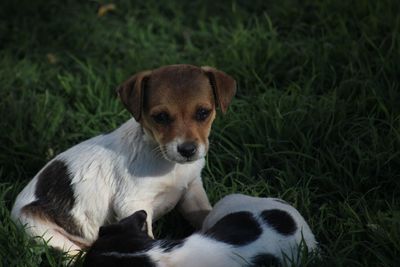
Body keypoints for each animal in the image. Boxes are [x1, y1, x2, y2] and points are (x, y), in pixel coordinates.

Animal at [10, 63, 236, 254]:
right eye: (160, 117)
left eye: (203, 113)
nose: (187, 150)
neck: (166, 161)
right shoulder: (133, 203)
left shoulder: (191, 189)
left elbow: (207, 215)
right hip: (42, 232)